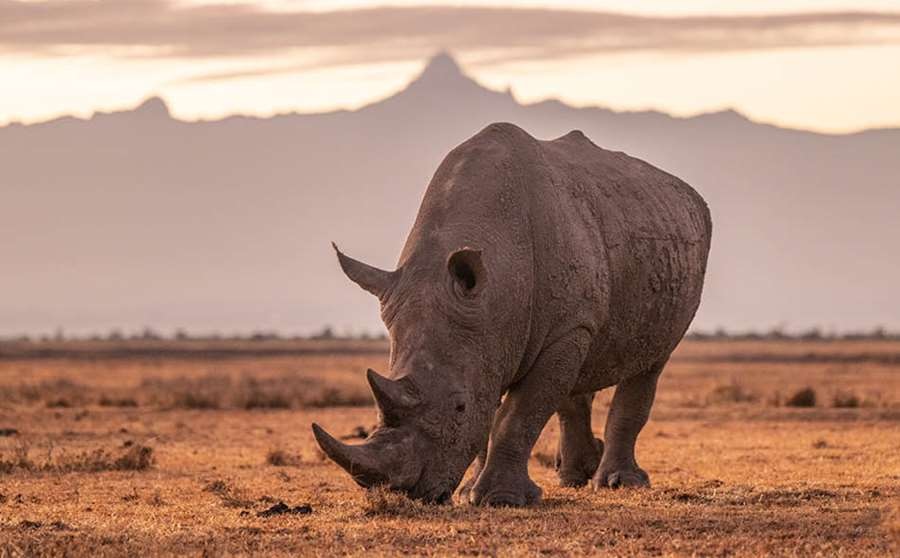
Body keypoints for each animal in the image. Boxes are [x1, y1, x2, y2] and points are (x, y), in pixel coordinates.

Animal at [312, 123, 711, 506]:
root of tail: (689, 193)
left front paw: (500, 499)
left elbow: (517, 414)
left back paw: (619, 483)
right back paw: (574, 477)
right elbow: (493, 413)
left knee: (651, 362)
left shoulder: (562, 329)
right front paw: (467, 492)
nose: (407, 493)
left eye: (459, 407)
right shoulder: (491, 331)